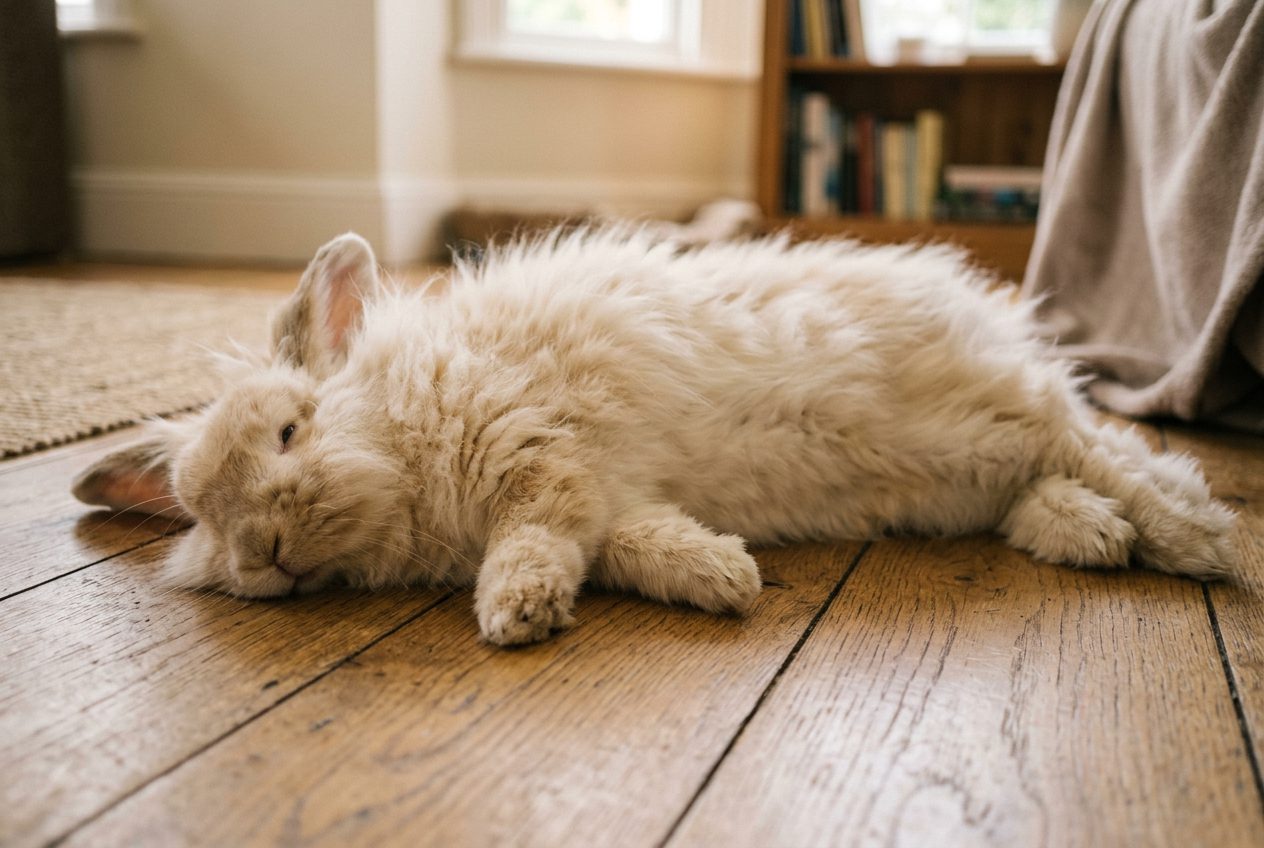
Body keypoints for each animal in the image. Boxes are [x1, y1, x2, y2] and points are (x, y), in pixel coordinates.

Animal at [72, 228, 1238, 645]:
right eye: (203, 515)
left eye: (288, 428)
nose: (262, 556)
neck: (405, 425)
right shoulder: (608, 493)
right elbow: (628, 543)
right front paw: (722, 576)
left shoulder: (540, 458)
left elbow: (539, 536)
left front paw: (515, 612)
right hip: (972, 466)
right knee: (1053, 476)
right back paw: (1088, 535)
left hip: (993, 410)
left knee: (1108, 449)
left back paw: (1196, 541)